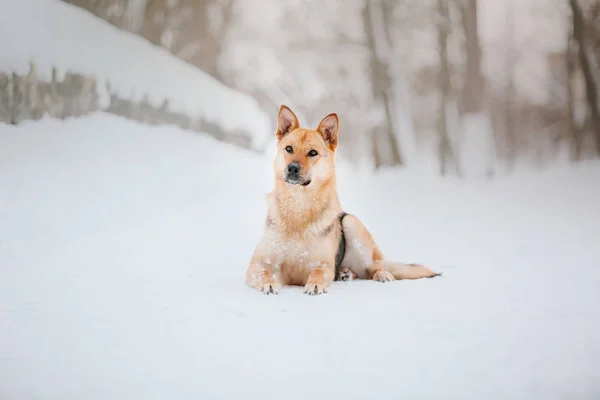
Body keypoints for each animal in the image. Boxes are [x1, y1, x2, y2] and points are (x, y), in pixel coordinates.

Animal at [245, 104, 440, 296]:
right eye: (289, 149)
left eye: (312, 153)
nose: (292, 168)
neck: (299, 206)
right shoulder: (258, 263)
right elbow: (262, 272)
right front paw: (269, 284)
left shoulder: (323, 265)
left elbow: (318, 272)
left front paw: (314, 284)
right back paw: (344, 273)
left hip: (351, 223)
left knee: (372, 267)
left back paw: (381, 274)